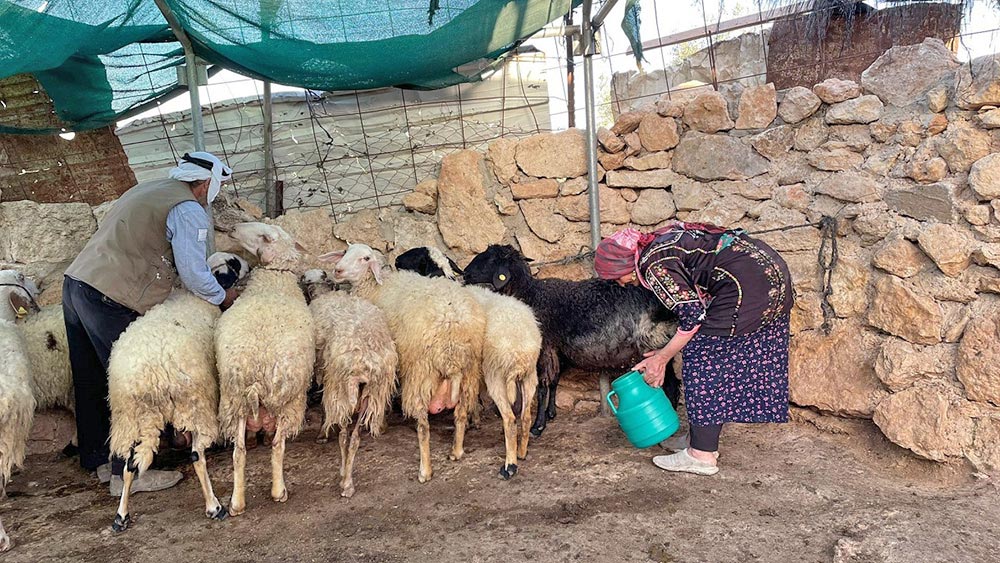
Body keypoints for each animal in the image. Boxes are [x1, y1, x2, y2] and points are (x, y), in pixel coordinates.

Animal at [217, 221, 314, 516]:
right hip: (287, 400)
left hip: (235, 400)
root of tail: (257, 373)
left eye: (262, 235)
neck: (274, 276)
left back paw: (237, 502)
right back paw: (278, 491)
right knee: (277, 446)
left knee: (239, 452)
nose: (233, 228)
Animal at [308, 286, 398, 498]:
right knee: (355, 438)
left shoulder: (328, 378)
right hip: (371, 392)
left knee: (343, 436)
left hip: (342, 388)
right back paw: (349, 482)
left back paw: (344, 478)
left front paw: (323, 432)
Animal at [324, 243, 484, 484]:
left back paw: (425, 471)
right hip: (469, 373)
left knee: (423, 426)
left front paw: (381, 424)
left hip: (421, 372)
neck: (375, 287)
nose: (338, 270)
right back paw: (456, 451)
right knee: (461, 413)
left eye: (365, 258)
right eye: (345, 252)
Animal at [460, 246, 680, 436]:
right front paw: (550, 414)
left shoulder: (544, 347)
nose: (465, 274)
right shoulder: (557, 350)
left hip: (656, 344)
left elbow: (542, 386)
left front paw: (538, 426)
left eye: (490, 259)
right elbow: (554, 381)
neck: (529, 294)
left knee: (670, 382)